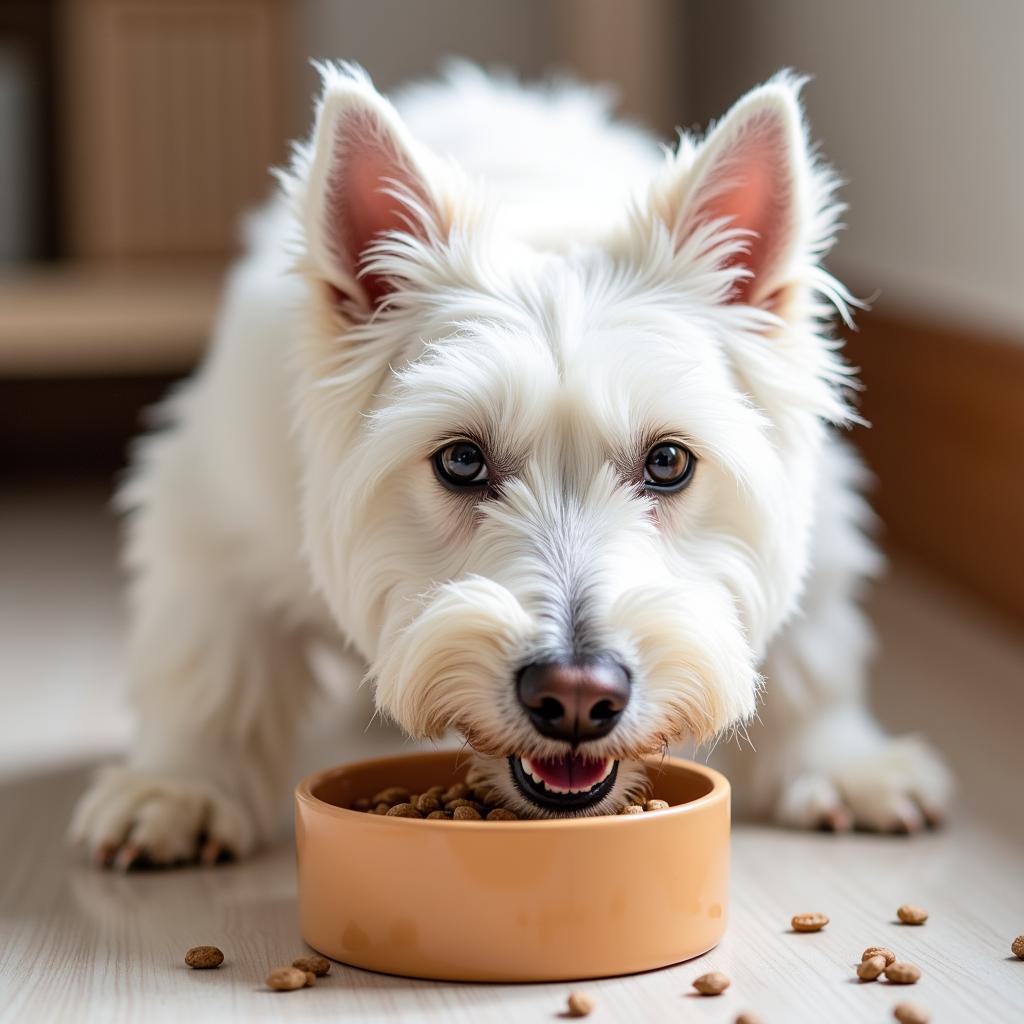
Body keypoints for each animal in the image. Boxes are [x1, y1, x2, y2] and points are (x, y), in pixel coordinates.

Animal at [70, 61, 950, 864]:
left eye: (669, 461)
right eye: (460, 460)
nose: (576, 696)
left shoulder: (822, 515)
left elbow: (814, 651)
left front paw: (844, 763)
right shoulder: (209, 503)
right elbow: (212, 663)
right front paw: (180, 786)